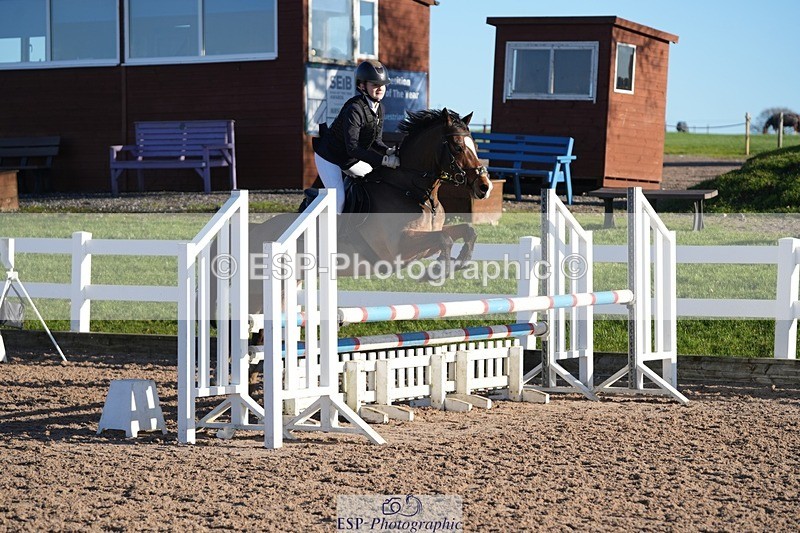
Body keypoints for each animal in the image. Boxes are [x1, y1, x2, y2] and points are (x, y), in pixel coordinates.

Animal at [244, 107, 493, 315]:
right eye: (458, 147)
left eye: (476, 147)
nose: (485, 187)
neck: (413, 191)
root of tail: (257, 231)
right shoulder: (399, 247)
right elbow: (444, 239)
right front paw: (436, 272)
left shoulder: (424, 242)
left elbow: (465, 231)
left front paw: (460, 262)